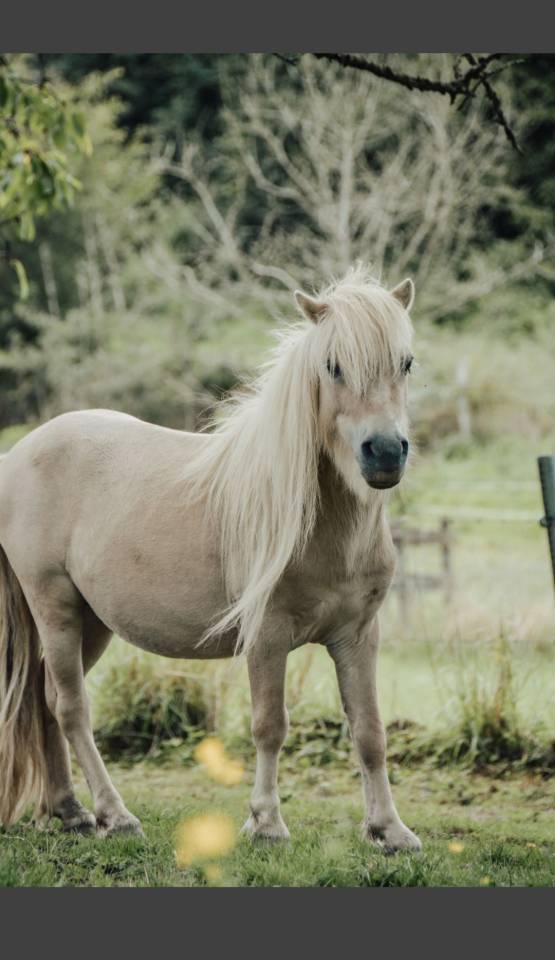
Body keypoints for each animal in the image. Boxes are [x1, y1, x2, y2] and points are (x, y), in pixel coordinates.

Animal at [0, 265, 421, 852]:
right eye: (333, 366)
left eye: (406, 362)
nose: (383, 453)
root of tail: (16, 454)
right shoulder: (266, 635)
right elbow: (270, 725)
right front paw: (266, 822)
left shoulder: (358, 636)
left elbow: (370, 731)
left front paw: (389, 829)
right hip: (54, 606)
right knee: (70, 708)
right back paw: (114, 814)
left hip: (92, 623)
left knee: (44, 700)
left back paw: (69, 811)